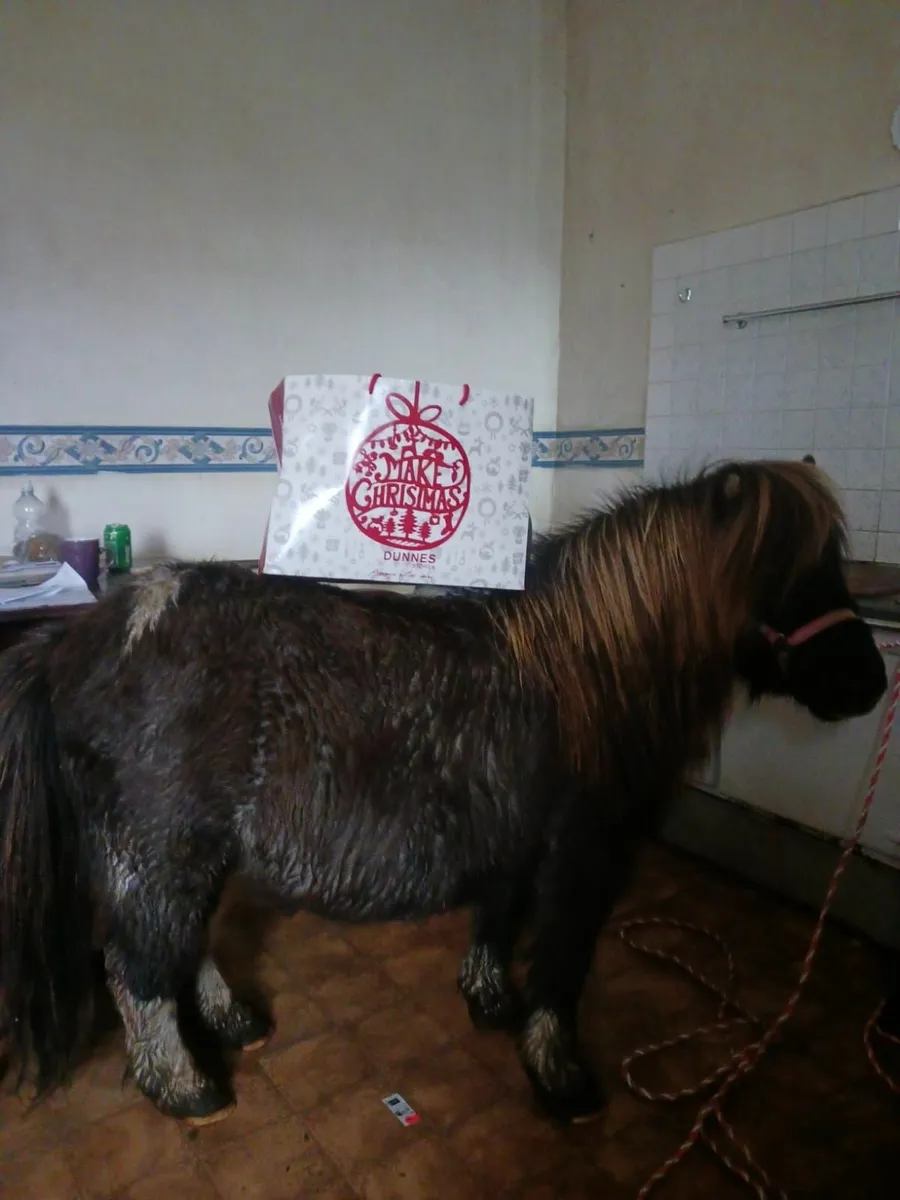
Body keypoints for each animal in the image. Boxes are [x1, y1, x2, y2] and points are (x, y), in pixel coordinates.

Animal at [0, 458, 888, 1128]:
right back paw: (184, 1088)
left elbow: (498, 919)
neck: (587, 668)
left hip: (191, 851)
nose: (872, 684)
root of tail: (79, 640)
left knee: (182, 947)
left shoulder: (521, 835)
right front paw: (559, 1077)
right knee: (137, 965)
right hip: (164, 847)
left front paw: (488, 1002)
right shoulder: (587, 854)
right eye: (791, 573)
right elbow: (562, 967)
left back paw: (231, 1023)